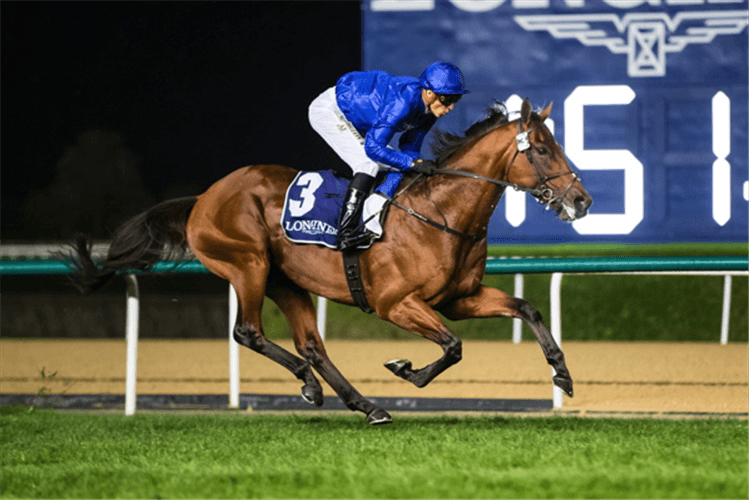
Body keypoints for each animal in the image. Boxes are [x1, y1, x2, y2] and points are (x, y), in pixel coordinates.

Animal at [62, 97, 592, 426]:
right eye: (541, 149)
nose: (582, 200)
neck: (440, 214)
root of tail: (203, 199)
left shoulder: (459, 298)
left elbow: (526, 310)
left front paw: (563, 374)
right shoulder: (395, 303)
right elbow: (453, 346)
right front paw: (406, 370)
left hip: (286, 280)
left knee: (312, 344)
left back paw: (363, 404)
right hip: (248, 264)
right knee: (248, 331)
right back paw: (310, 385)